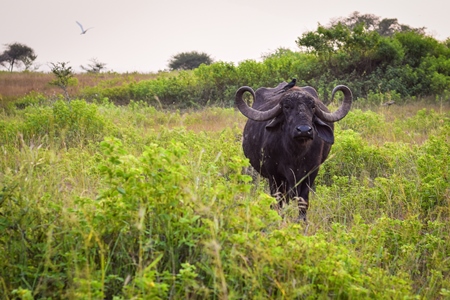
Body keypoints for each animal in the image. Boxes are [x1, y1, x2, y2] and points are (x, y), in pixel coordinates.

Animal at [236, 82, 352, 220]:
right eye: (287, 107)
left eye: (312, 106)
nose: (304, 130)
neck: (296, 154)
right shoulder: (274, 175)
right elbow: (278, 200)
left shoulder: (311, 173)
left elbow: (303, 201)